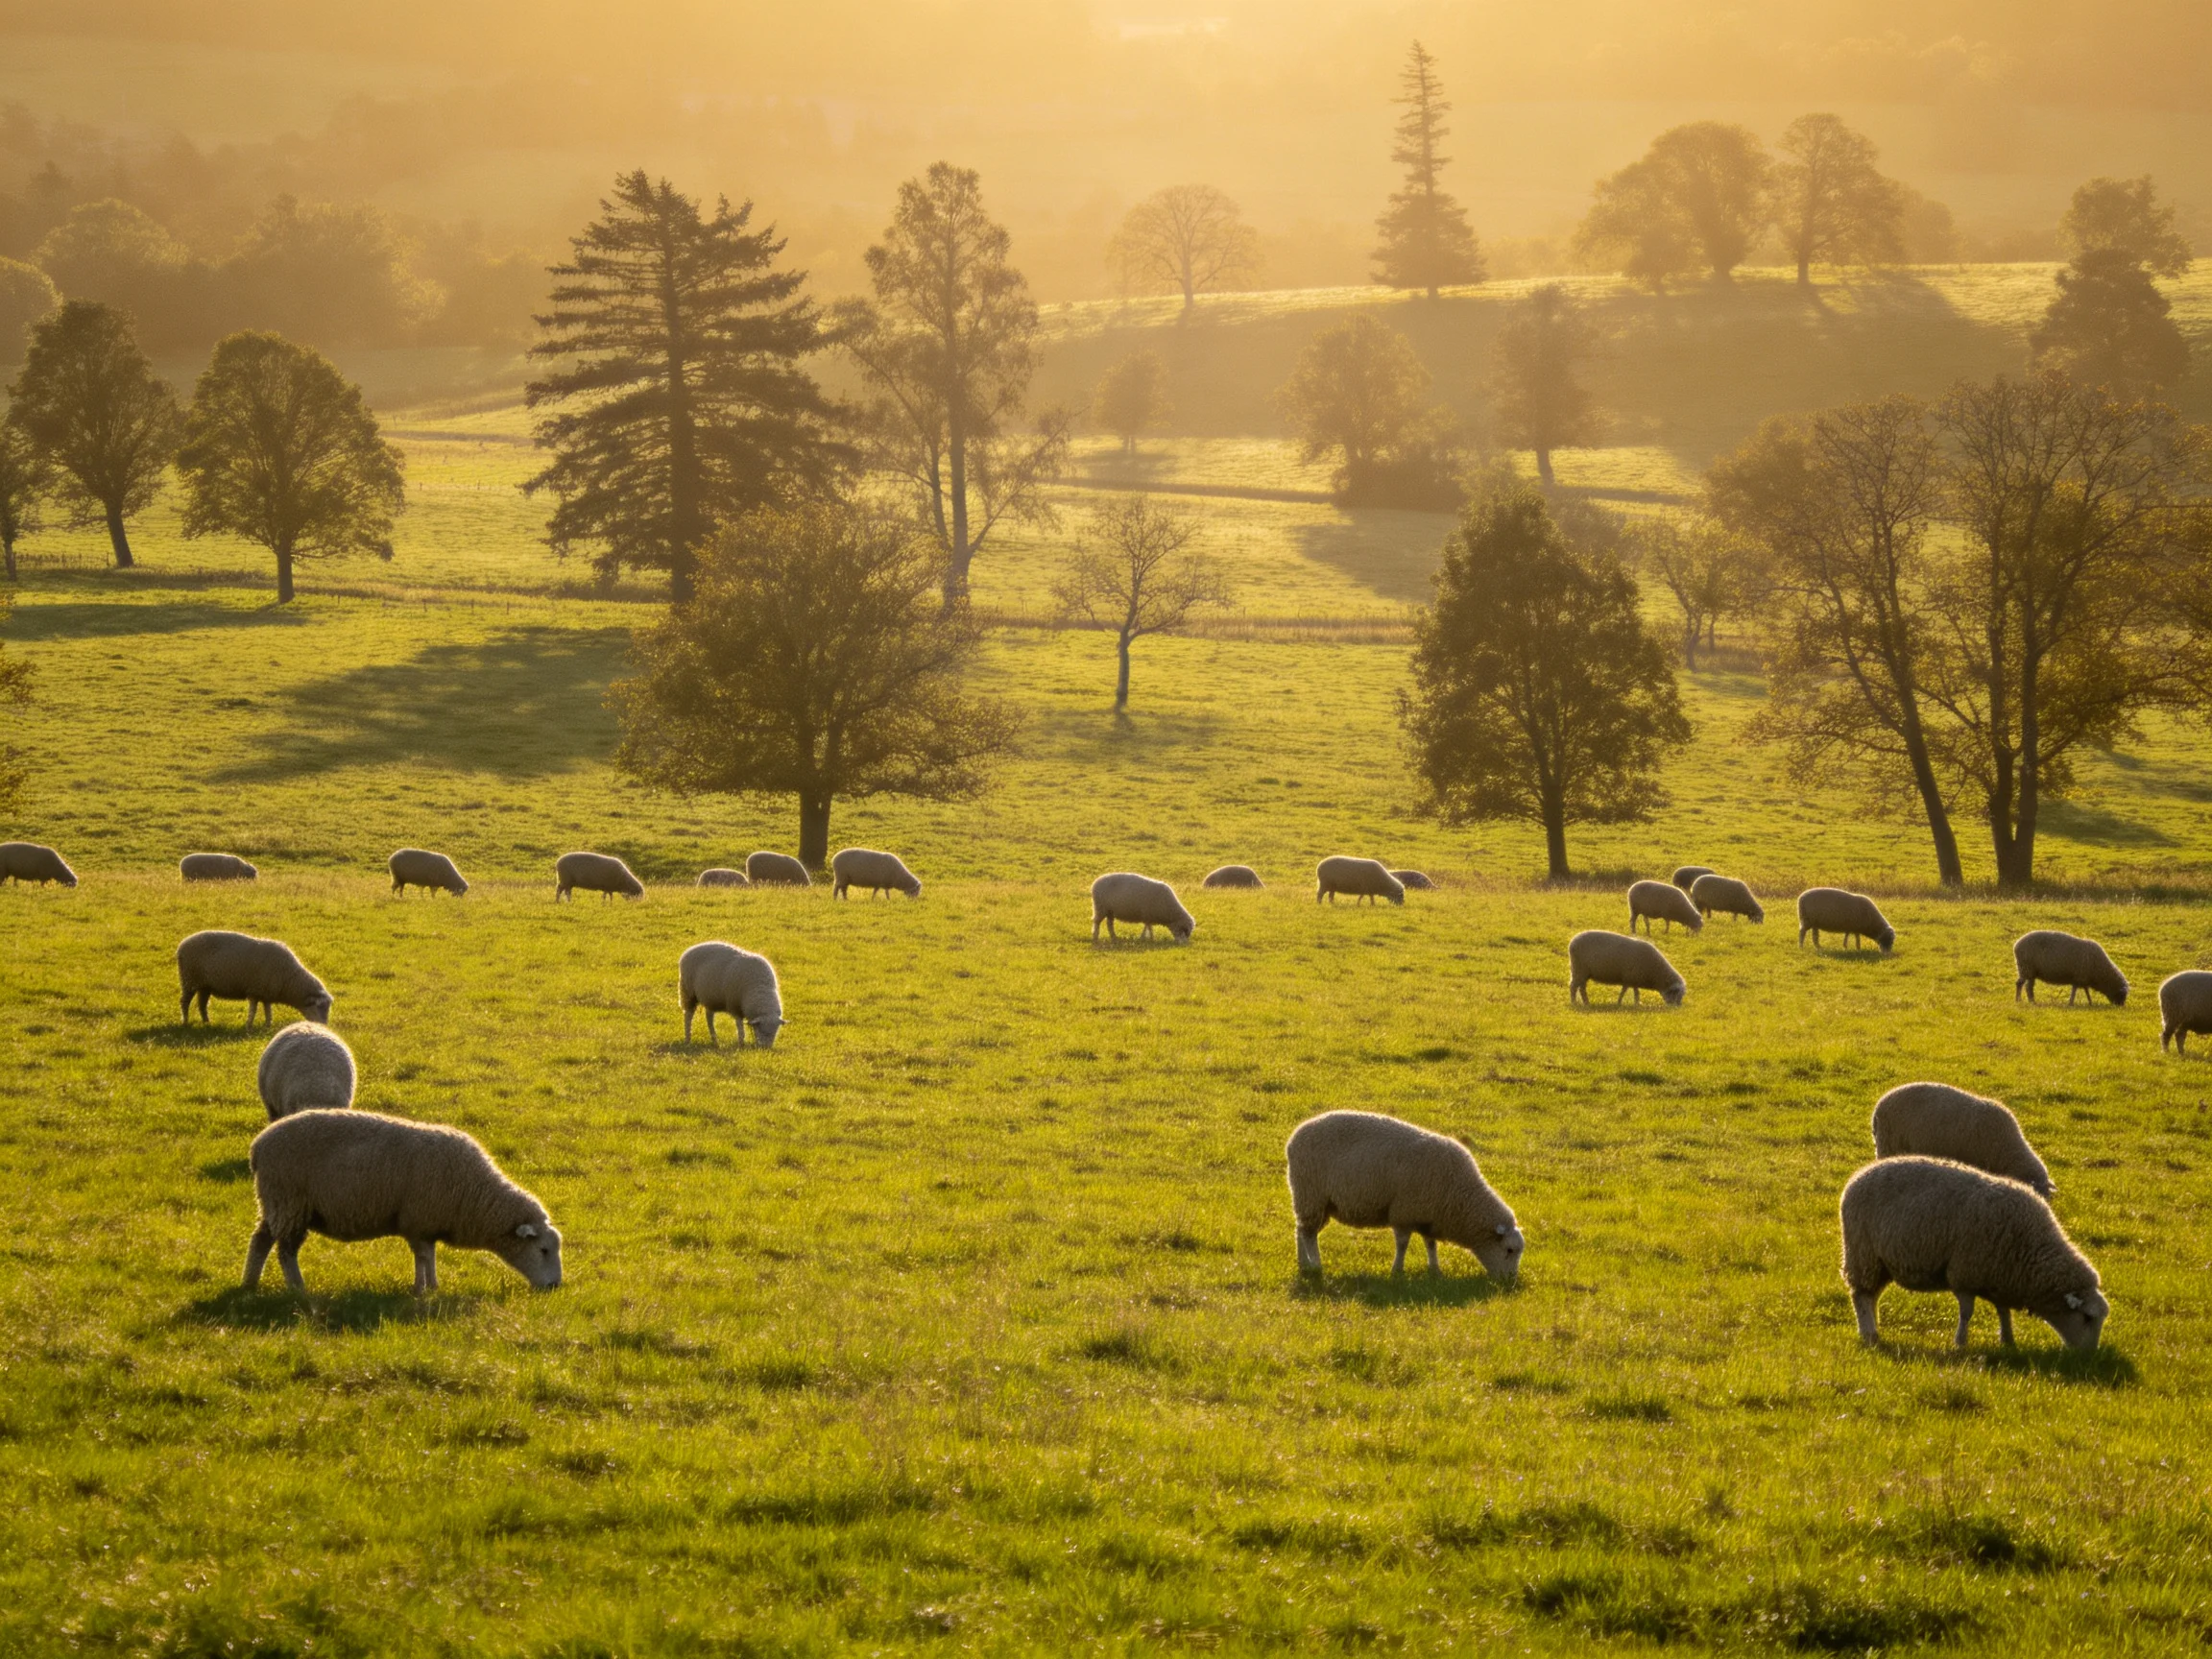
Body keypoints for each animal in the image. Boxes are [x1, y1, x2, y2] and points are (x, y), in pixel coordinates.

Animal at [177, 930, 332, 1026]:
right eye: (320, 1007)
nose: (324, 1026)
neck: (290, 979)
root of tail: (182, 944)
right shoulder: (254, 991)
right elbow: (254, 1010)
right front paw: (249, 1026)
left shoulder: (266, 993)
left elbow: (268, 1010)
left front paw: (268, 1025)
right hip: (188, 979)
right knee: (184, 1002)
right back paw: (185, 1021)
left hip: (205, 985)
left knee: (202, 1005)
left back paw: (207, 1022)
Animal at [244, 1109, 562, 1295]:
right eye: (543, 1250)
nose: (555, 1286)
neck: (475, 1194)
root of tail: (258, 1145)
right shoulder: (418, 1221)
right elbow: (422, 1257)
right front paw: (422, 1289)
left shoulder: (427, 1224)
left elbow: (429, 1256)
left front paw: (432, 1286)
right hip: (289, 1200)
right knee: (285, 1251)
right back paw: (297, 1288)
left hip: (277, 1204)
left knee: (260, 1241)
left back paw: (250, 1283)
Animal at [1285, 1110, 1523, 1280]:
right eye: (1509, 1250)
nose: (1510, 1281)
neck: (1460, 1195)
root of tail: (1293, 1139)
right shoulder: (1404, 1213)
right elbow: (1402, 1244)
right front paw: (1397, 1270)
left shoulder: (1428, 1216)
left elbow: (1431, 1244)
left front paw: (1435, 1270)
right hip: (1311, 1194)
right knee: (1308, 1234)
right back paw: (1316, 1265)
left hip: (1315, 1201)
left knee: (1301, 1230)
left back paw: (1303, 1265)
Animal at [1838, 1157, 2106, 1351]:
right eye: (2087, 1318)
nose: (2090, 1356)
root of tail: (1858, 1176)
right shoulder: (1964, 1274)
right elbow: (1967, 1313)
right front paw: (1960, 1342)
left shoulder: (2000, 1278)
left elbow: (2003, 1311)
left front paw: (2008, 1340)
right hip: (1862, 1253)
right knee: (1860, 1295)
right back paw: (1869, 1334)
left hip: (1881, 1262)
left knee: (1871, 1296)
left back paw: (1872, 1330)